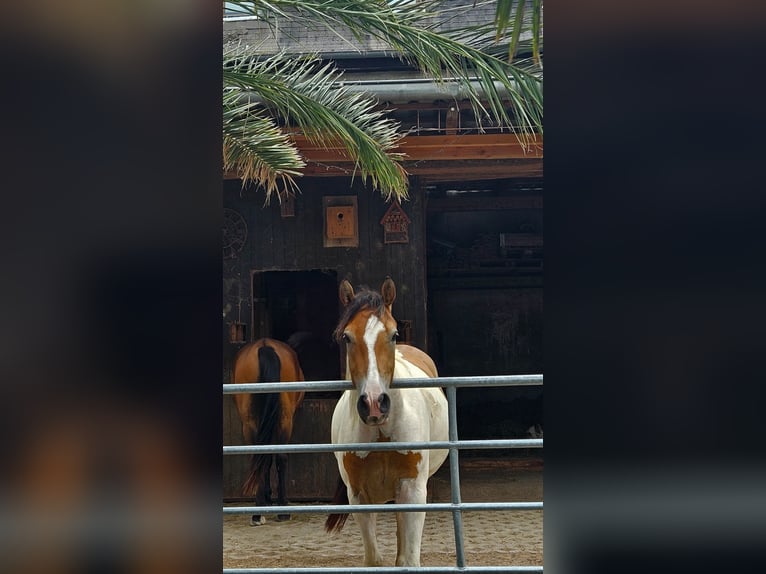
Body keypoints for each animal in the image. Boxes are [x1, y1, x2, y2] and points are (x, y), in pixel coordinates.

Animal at [231, 338, 305, 525]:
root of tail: (265, 347)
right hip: (285, 420)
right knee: (280, 458)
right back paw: (281, 509)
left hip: (250, 422)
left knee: (260, 456)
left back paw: (258, 512)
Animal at [324, 277, 449, 567]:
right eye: (347, 337)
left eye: (393, 335)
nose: (373, 403)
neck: (382, 433)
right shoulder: (358, 496)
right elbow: (374, 560)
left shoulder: (413, 491)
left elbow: (408, 560)